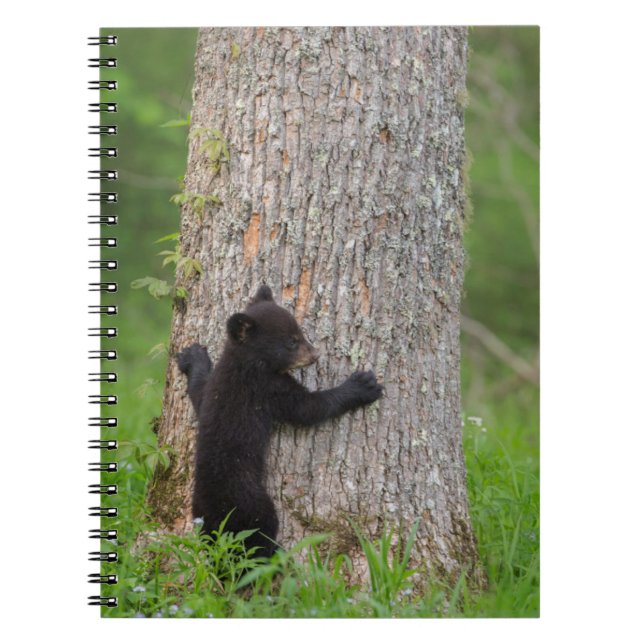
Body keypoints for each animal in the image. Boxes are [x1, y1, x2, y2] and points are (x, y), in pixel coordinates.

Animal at [176, 284, 383, 557]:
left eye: (300, 333)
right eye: (291, 341)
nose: (315, 354)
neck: (246, 362)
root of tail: (216, 519)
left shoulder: (214, 390)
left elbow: (199, 393)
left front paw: (192, 356)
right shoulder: (268, 389)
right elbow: (309, 409)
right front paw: (362, 386)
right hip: (253, 504)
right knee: (258, 539)